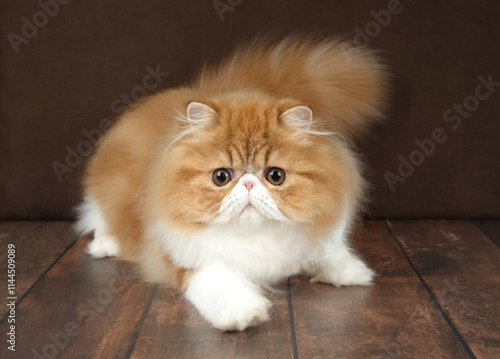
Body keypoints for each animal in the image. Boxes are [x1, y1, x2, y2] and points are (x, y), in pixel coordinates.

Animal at [76, 36, 388, 332]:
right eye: (221, 177)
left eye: (275, 176)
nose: (248, 183)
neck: (254, 238)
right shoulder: (192, 260)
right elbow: (223, 285)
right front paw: (243, 314)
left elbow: (326, 250)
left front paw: (350, 272)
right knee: (99, 218)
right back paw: (105, 245)